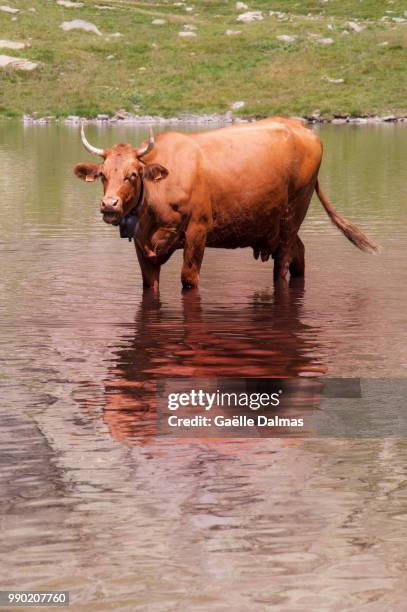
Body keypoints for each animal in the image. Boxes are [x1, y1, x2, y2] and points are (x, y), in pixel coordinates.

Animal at [74, 120, 380, 294]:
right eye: (103, 174)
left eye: (133, 174)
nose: (109, 204)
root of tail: (302, 127)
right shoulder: (142, 246)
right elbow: (150, 285)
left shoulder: (198, 231)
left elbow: (189, 279)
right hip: (274, 222)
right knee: (299, 254)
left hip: (295, 213)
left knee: (283, 263)